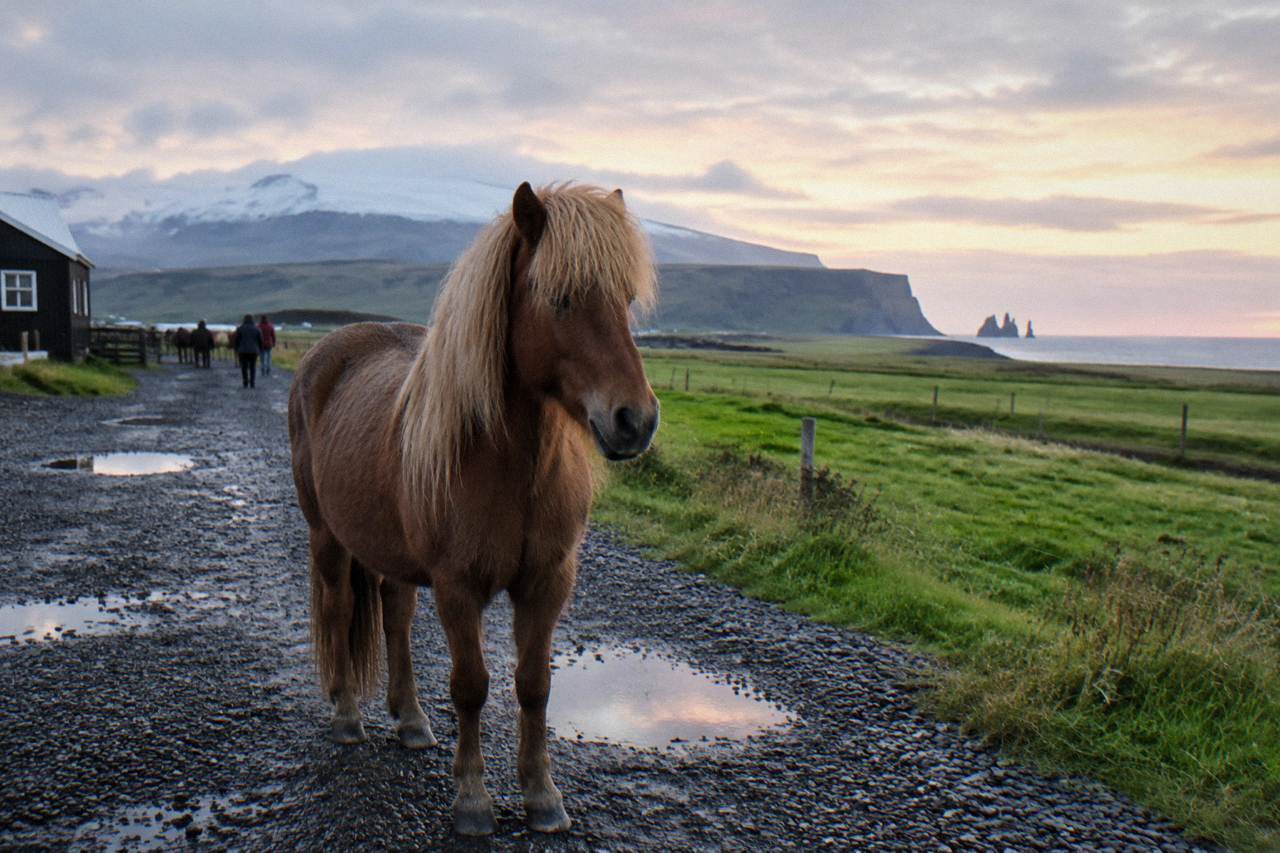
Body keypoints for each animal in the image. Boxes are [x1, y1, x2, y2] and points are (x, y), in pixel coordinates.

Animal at [287, 182, 659, 836]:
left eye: (626, 298)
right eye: (560, 298)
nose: (634, 421)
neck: (511, 466)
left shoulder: (547, 583)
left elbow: (533, 685)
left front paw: (542, 796)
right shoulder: (458, 587)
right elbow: (471, 686)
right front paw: (472, 800)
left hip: (389, 552)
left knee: (395, 618)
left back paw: (410, 720)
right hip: (327, 537)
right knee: (339, 611)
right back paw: (348, 717)